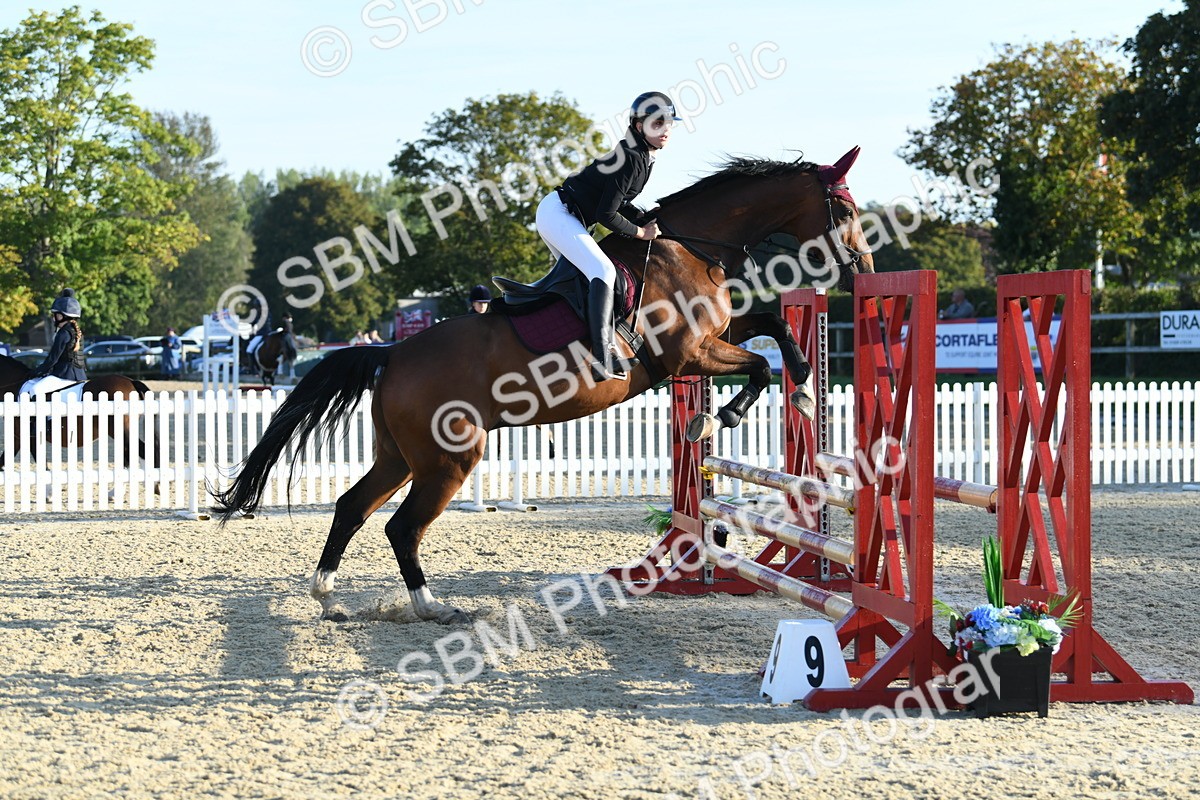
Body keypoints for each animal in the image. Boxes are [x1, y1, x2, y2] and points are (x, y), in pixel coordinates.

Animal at [213, 148, 875, 624]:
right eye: (843, 212)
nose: (863, 270)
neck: (687, 248)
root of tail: (394, 352)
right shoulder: (691, 352)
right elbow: (759, 366)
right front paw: (723, 416)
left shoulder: (715, 336)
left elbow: (772, 333)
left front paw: (799, 387)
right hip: (449, 459)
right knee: (401, 527)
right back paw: (432, 608)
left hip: (400, 455)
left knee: (353, 506)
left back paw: (327, 595)